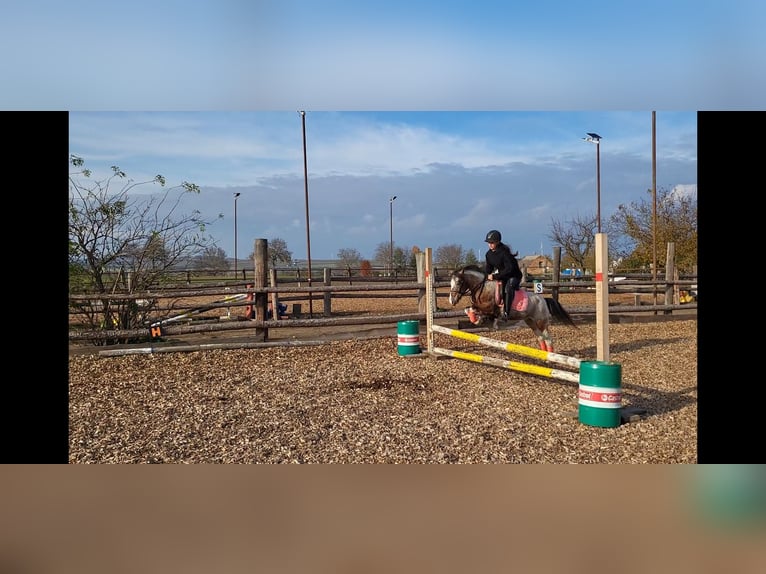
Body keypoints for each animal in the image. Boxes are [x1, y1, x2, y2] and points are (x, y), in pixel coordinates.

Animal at [448, 266, 580, 356]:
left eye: (459, 282)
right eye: (451, 283)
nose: (451, 301)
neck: (482, 288)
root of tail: (543, 299)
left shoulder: (489, 308)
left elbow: (477, 311)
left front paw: (479, 320)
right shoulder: (480, 307)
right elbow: (469, 309)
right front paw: (477, 320)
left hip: (541, 322)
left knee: (547, 338)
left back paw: (549, 356)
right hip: (530, 321)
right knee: (540, 337)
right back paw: (543, 355)